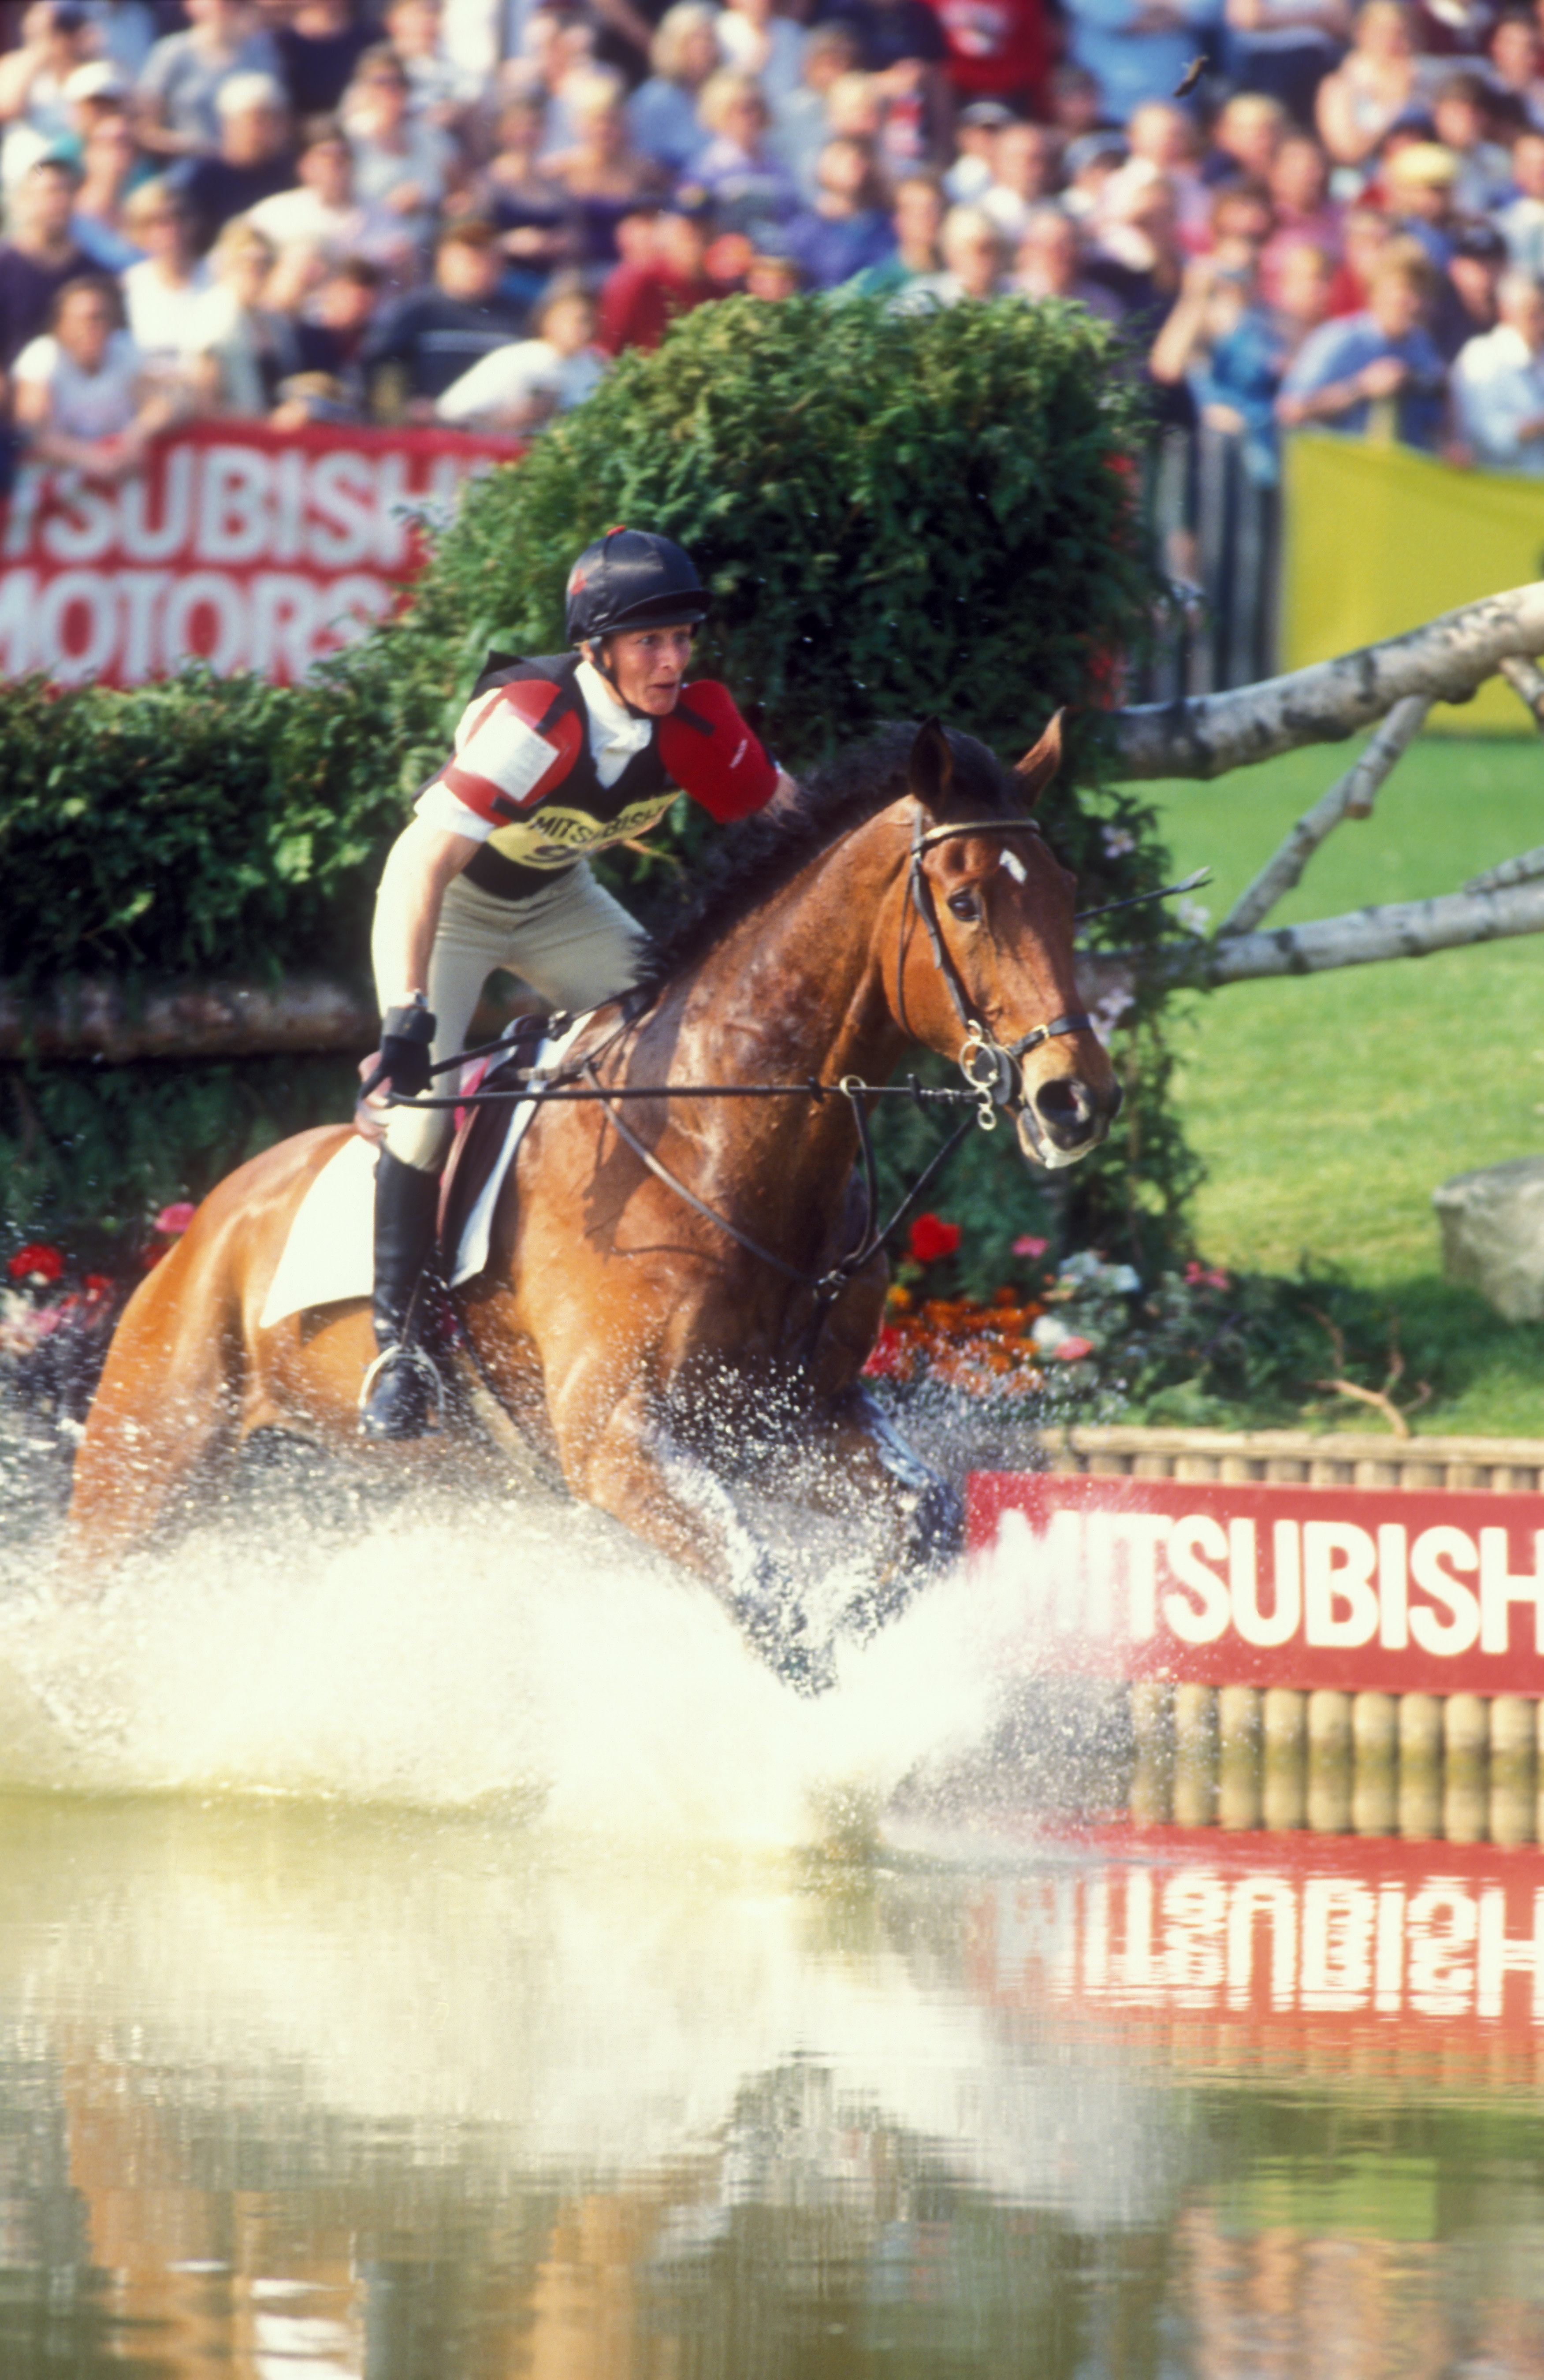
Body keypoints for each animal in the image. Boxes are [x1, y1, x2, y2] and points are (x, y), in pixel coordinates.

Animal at [63, 715, 1121, 1685]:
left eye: (1068, 892)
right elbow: (769, 1608)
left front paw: (857, 1627)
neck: (716, 1137)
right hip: (142, 1471)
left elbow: (923, 1518)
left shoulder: (785, 1421)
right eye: (966, 901)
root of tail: (209, 1222)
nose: (1074, 1100)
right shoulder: (618, 1444)